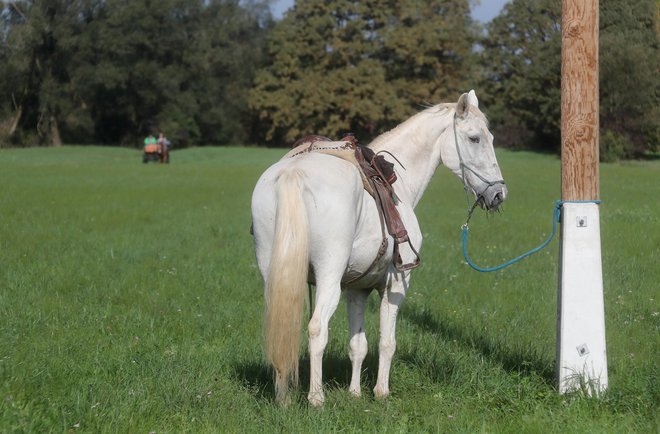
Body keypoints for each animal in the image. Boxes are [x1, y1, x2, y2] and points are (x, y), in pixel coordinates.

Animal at [250, 90, 508, 406]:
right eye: (475, 138)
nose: (498, 193)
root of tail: (293, 174)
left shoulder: (356, 289)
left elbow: (357, 345)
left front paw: (355, 393)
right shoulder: (396, 284)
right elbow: (387, 342)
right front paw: (381, 392)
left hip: (273, 272)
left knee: (279, 327)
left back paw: (283, 398)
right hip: (328, 277)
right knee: (317, 328)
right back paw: (316, 397)